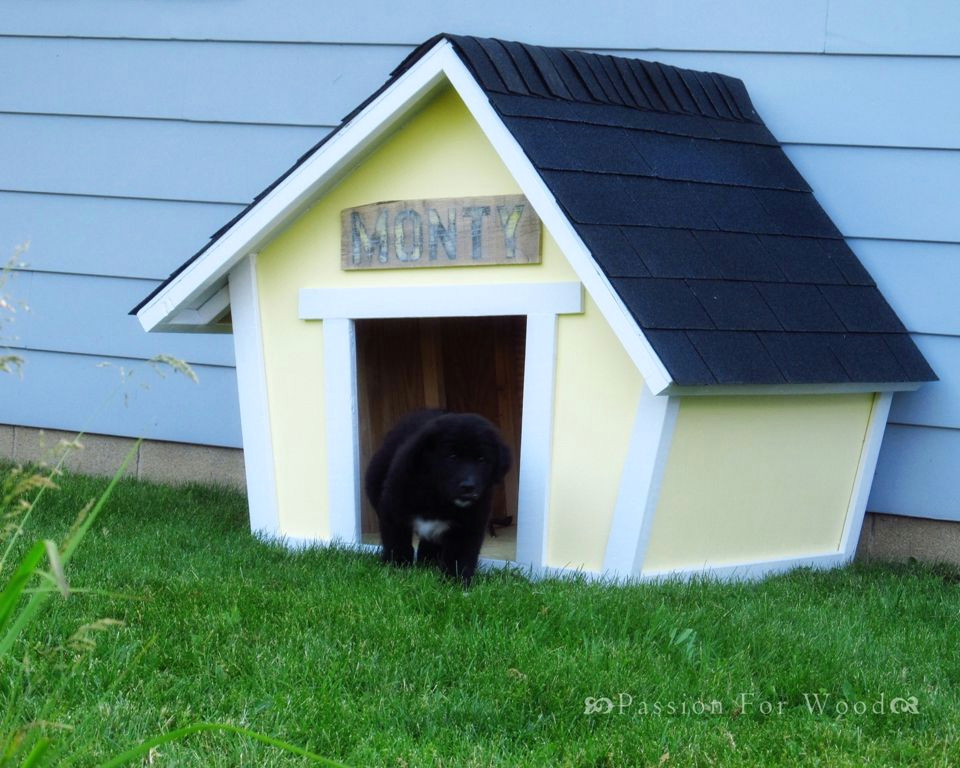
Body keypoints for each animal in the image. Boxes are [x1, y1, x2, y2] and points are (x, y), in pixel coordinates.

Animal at [364, 412, 510, 584]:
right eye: (452, 456)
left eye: (482, 459)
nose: (468, 487)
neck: (438, 499)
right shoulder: (392, 512)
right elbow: (397, 543)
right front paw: (397, 570)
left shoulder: (470, 524)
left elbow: (461, 555)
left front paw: (456, 582)